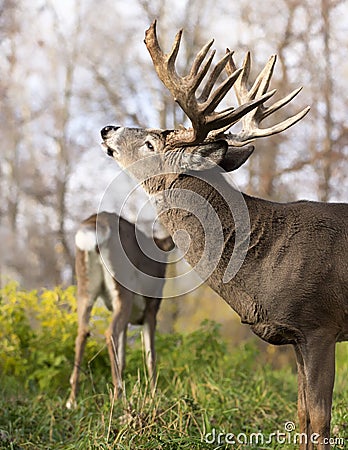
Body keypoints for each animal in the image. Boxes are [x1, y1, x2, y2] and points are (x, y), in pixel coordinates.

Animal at [65, 211, 174, 408]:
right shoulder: (151, 310)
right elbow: (150, 356)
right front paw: (154, 397)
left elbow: (122, 358)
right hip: (123, 290)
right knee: (110, 333)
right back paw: (118, 397)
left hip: (85, 288)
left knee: (82, 332)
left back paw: (73, 400)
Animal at [99, 23, 346, 450]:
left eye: (151, 142)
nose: (107, 128)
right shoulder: (296, 337)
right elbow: (301, 415)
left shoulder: (321, 326)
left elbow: (319, 421)